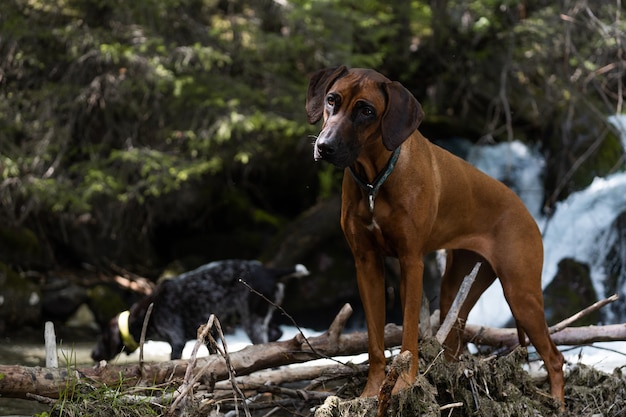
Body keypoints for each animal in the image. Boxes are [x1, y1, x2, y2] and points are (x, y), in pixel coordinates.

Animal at [91, 258, 308, 360]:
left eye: (102, 337)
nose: (93, 354)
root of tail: (269, 271)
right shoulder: (208, 336)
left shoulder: (177, 340)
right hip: (259, 316)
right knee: (276, 333)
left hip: (252, 321)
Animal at [304, 66, 564, 404]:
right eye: (332, 100)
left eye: (366, 111)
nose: (325, 146)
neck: (375, 182)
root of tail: (527, 211)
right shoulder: (366, 265)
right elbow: (375, 343)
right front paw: (371, 393)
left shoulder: (411, 262)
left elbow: (408, 335)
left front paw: (403, 386)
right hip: (457, 286)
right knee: (455, 341)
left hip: (521, 292)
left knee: (555, 357)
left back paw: (558, 403)